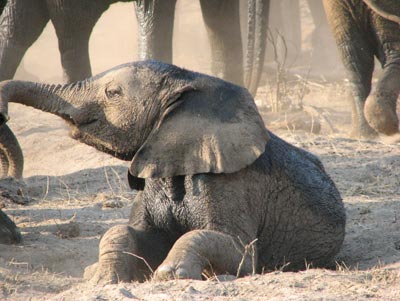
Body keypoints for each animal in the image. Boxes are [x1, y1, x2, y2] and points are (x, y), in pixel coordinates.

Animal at [0, 60, 346, 282]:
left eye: (112, 93)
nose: (4, 114)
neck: (192, 82)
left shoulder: (231, 185)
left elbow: (237, 251)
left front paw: (169, 275)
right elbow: (129, 233)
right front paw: (101, 277)